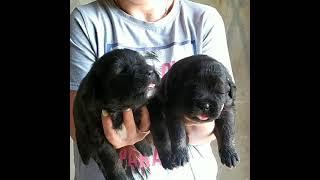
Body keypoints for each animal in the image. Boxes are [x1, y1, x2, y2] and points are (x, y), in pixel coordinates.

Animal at [74, 48, 161, 179]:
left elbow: (137, 127)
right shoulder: (97, 134)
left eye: (143, 62)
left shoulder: (135, 110)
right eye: (121, 71)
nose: (150, 70)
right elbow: (111, 159)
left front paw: (145, 147)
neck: (119, 108)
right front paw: (118, 175)